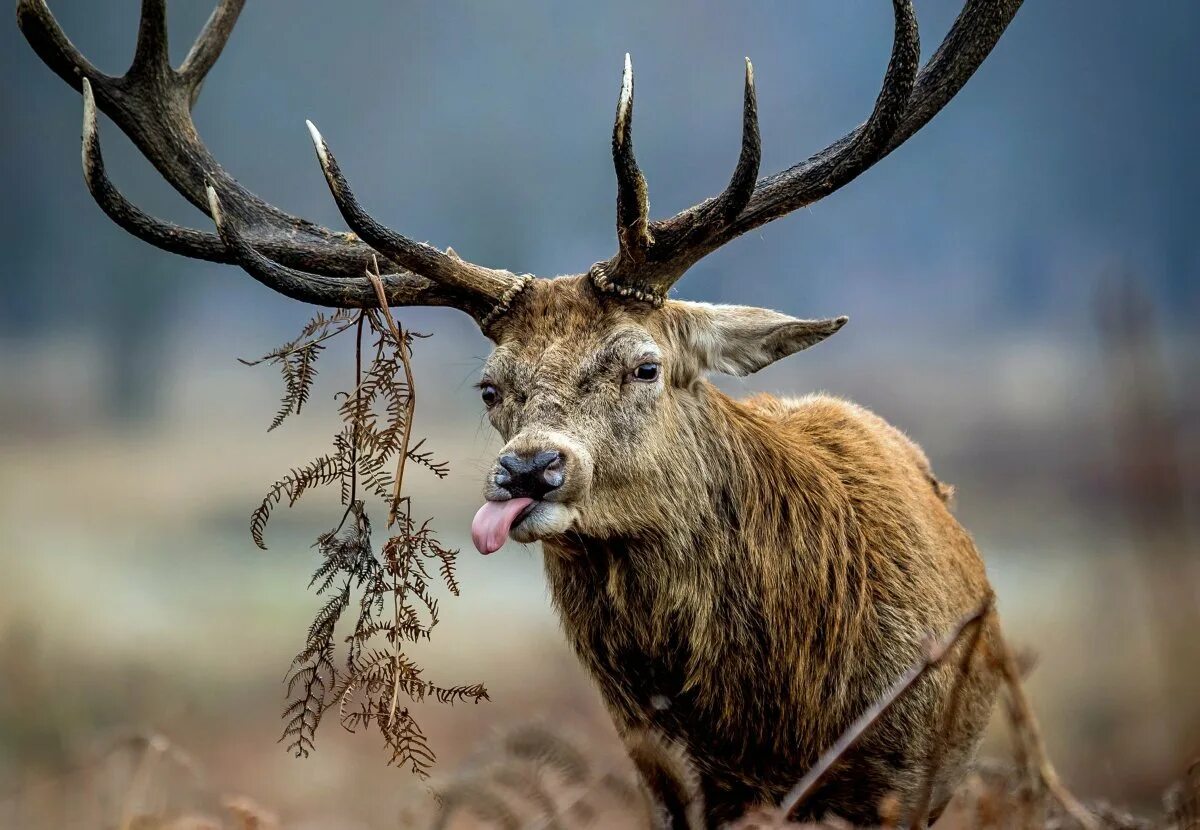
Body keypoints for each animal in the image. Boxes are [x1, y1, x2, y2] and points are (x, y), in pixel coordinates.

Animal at [21, 0, 1022, 825]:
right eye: (489, 387)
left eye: (646, 365)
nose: (529, 470)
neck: (782, 722)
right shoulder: (667, 778)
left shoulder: (904, 779)